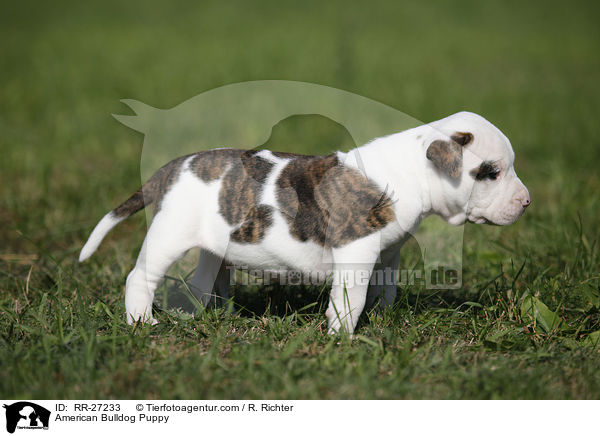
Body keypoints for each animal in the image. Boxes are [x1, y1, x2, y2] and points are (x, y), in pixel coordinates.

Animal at [78, 111, 528, 334]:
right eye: (490, 172)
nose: (526, 202)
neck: (411, 171)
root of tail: (175, 166)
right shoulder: (356, 250)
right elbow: (349, 300)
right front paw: (342, 337)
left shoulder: (389, 252)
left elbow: (384, 289)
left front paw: (382, 318)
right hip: (169, 235)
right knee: (139, 278)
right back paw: (143, 323)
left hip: (212, 247)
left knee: (202, 283)